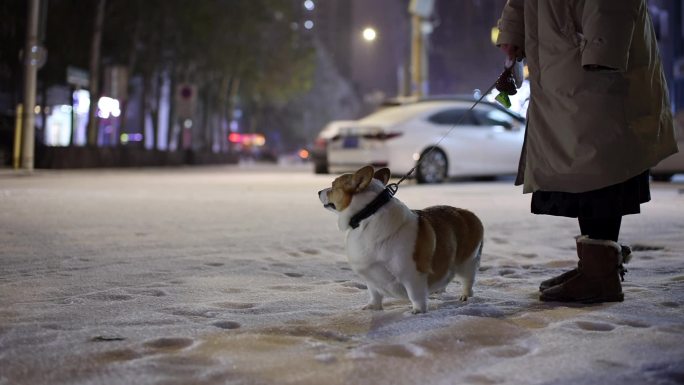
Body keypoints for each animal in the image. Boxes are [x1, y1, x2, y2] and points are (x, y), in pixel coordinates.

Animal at [318, 165, 484, 312]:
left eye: (332, 186)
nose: (319, 191)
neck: (368, 212)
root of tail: (469, 213)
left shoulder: (412, 275)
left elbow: (416, 296)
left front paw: (417, 311)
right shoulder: (371, 277)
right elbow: (374, 294)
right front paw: (373, 308)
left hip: (466, 263)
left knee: (468, 280)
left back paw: (465, 296)